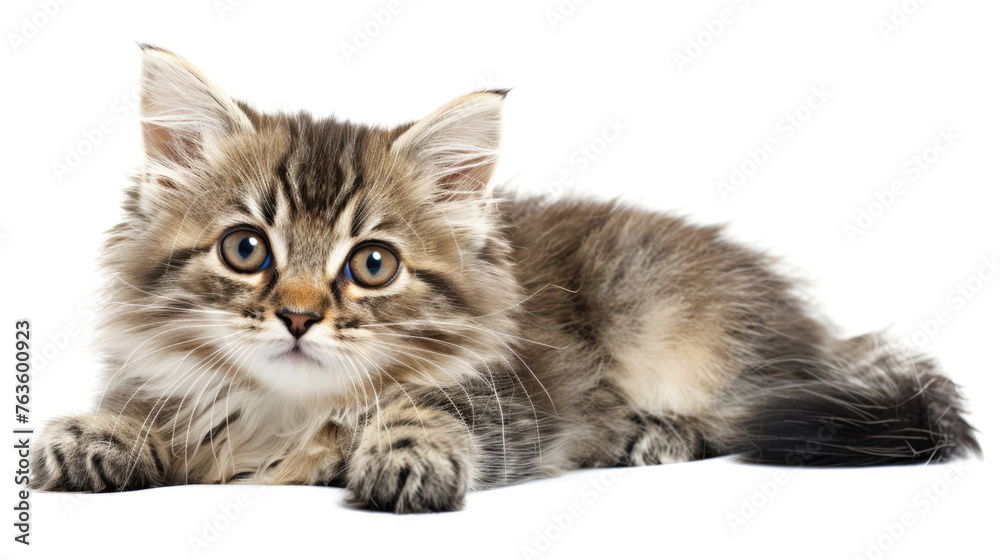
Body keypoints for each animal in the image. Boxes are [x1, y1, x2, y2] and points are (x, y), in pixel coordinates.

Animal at [29, 46, 976, 516]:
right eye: (245, 250)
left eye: (373, 264)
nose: (298, 317)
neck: (287, 408)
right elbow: (161, 421)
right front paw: (99, 435)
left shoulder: (517, 396)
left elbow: (419, 413)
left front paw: (401, 452)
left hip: (669, 320)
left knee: (745, 409)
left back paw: (652, 435)